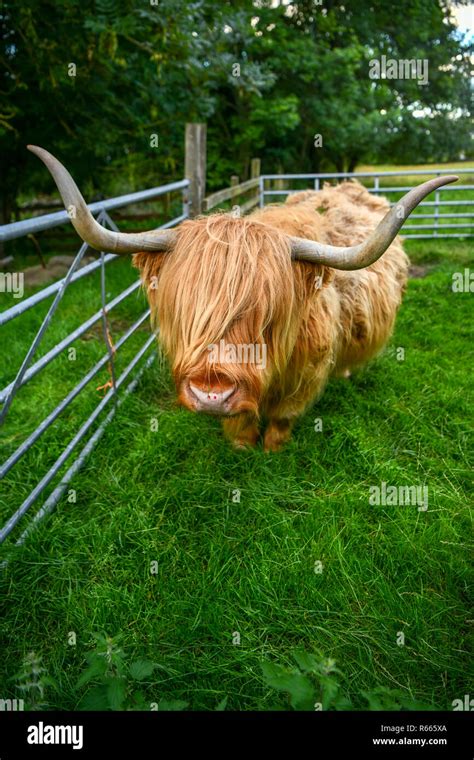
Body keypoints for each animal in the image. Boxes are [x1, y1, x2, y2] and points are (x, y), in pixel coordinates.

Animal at [28, 145, 456, 448]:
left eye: (267, 314)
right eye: (187, 308)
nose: (211, 393)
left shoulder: (306, 377)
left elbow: (282, 419)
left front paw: (272, 450)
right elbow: (242, 420)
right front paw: (242, 445)